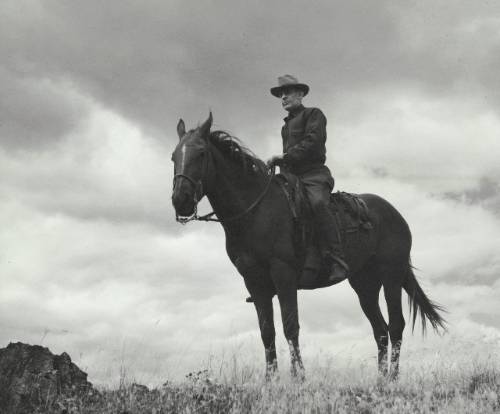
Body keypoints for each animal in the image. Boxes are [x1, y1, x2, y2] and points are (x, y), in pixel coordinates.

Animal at [171, 112, 446, 378]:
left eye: (201, 153)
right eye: (174, 156)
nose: (180, 199)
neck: (256, 210)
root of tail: (395, 215)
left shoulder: (283, 275)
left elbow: (290, 326)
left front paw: (298, 378)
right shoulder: (255, 282)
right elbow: (267, 331)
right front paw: (271, 381)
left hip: (391, 277)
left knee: (396, 325)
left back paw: (392, 379)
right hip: (364, 284)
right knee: (380, 329)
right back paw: (379, 380)